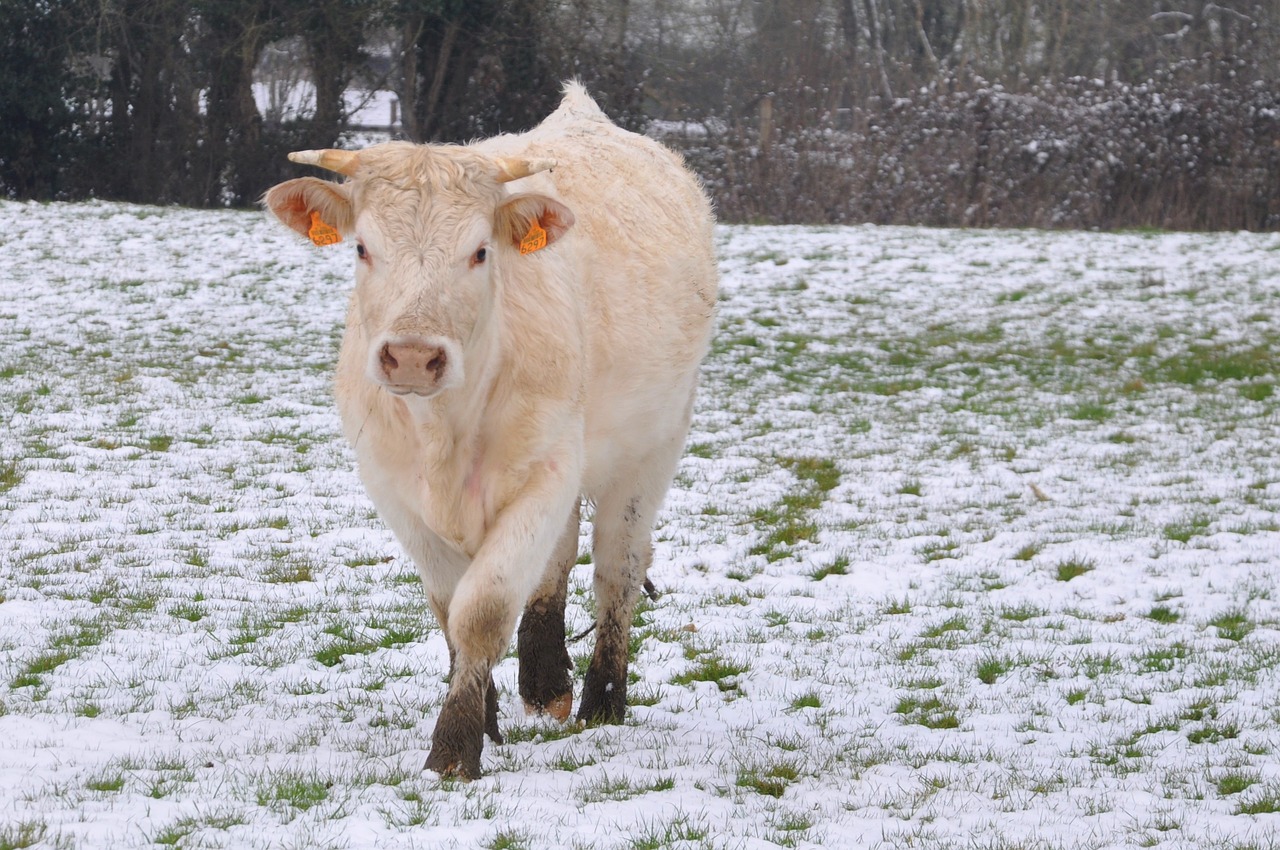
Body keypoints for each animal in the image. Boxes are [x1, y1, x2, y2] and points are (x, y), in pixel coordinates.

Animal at [263, 83, 716, 778]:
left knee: (618, 566)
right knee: (560, 558)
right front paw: (487, 718)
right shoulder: (394, 487)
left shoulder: (547, 472)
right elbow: (450, 608)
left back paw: (600, 701)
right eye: (362, 248)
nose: (413, 357)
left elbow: (483, 609)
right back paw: (546, 680)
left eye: (480, 251)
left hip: (650, 446)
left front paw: (454, 748)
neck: (443, 429)